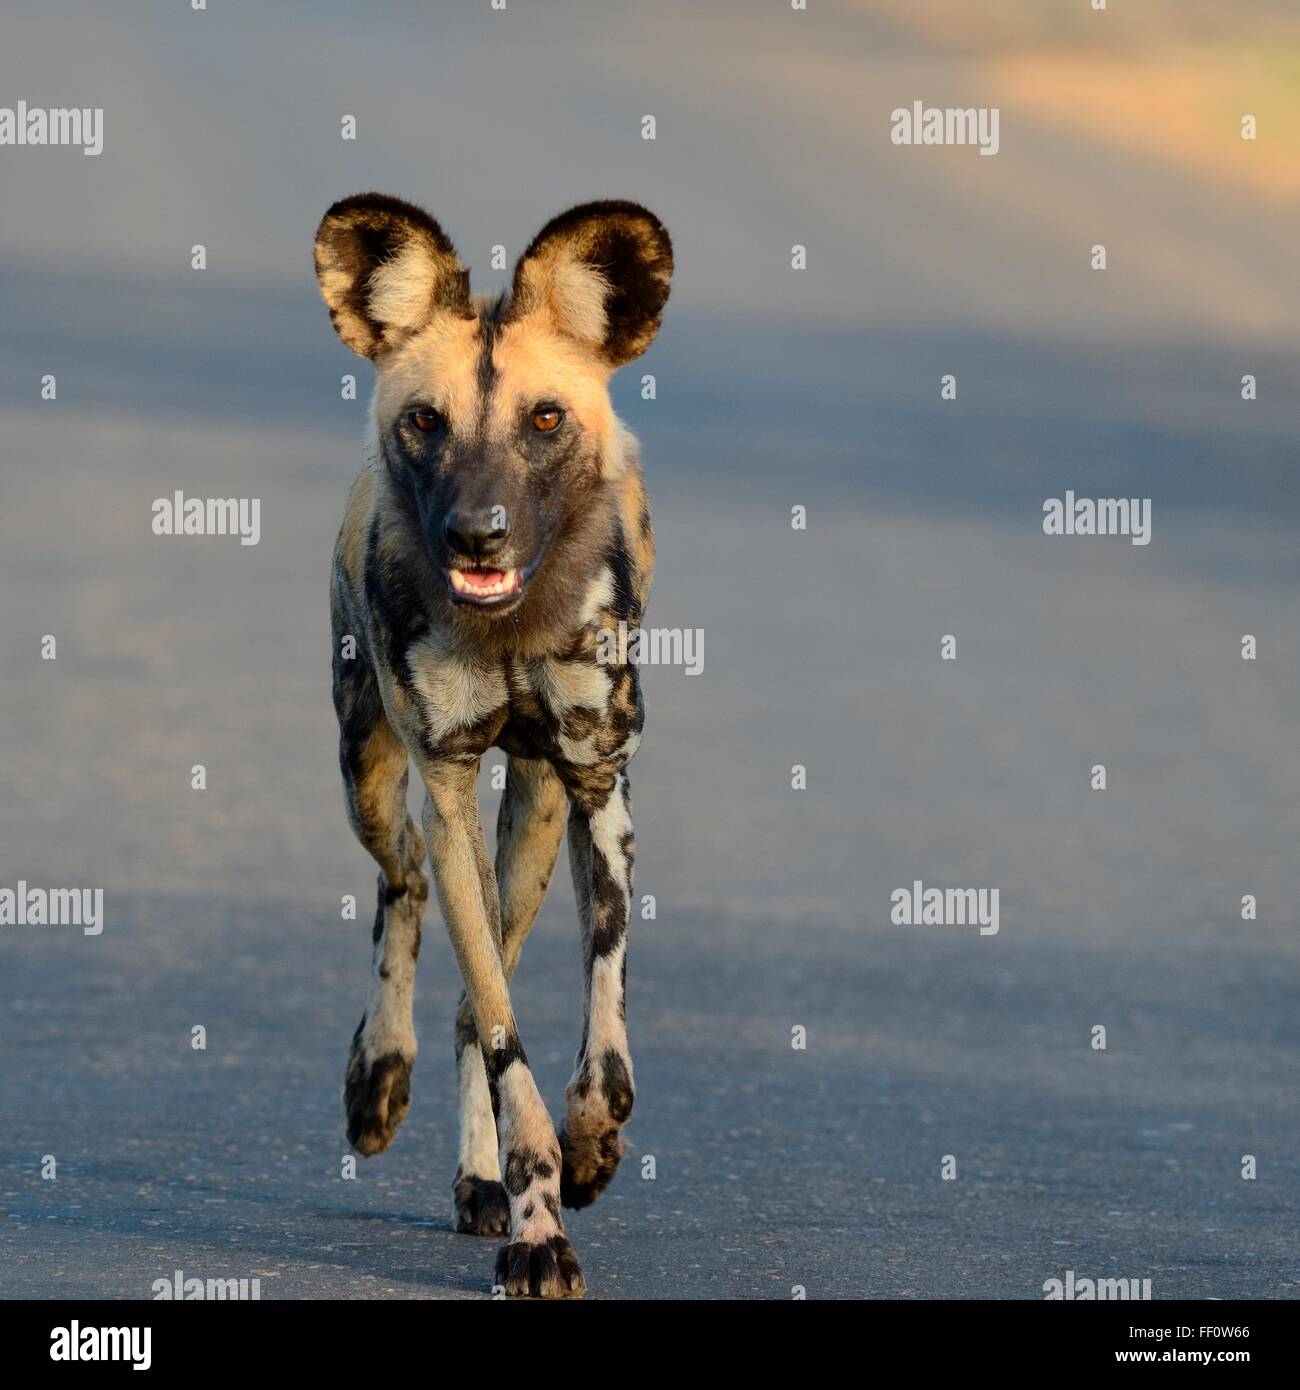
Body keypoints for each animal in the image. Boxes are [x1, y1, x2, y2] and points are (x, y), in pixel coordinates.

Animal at [314, 190, 670, 1295]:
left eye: (544, 420)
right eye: (425, 422)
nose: (478, 533)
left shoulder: (598, 784)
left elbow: (602, 1032)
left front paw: (590, 1150)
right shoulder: (447, 782)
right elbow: (508, 1037)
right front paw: (542, 1227)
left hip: (536, 819)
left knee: (480, 991)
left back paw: (481, 1180)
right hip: (374, 777)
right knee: (407, 889)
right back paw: (377, 1077)